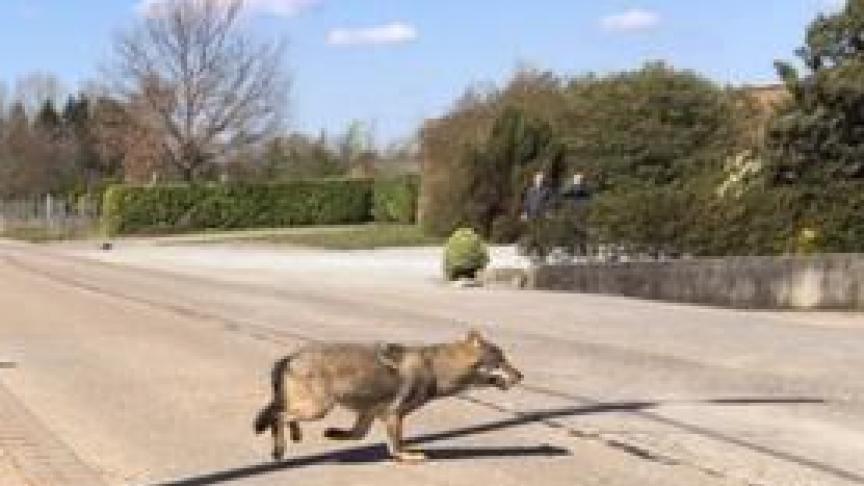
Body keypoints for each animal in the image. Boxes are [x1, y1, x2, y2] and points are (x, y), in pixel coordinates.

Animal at [253, 330, 524, 464]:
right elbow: (396, 446)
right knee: (279, 415)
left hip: (314, 409)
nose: (521, 375)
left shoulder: (370, 414)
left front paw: (334, 434)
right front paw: (407, 457)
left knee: (283, 415)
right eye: (501, 361)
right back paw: (279, 449)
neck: (436, 368)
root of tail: (289, 357)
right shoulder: (394, 415)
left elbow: (356, 435)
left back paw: (294, 435)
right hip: (319, 409)